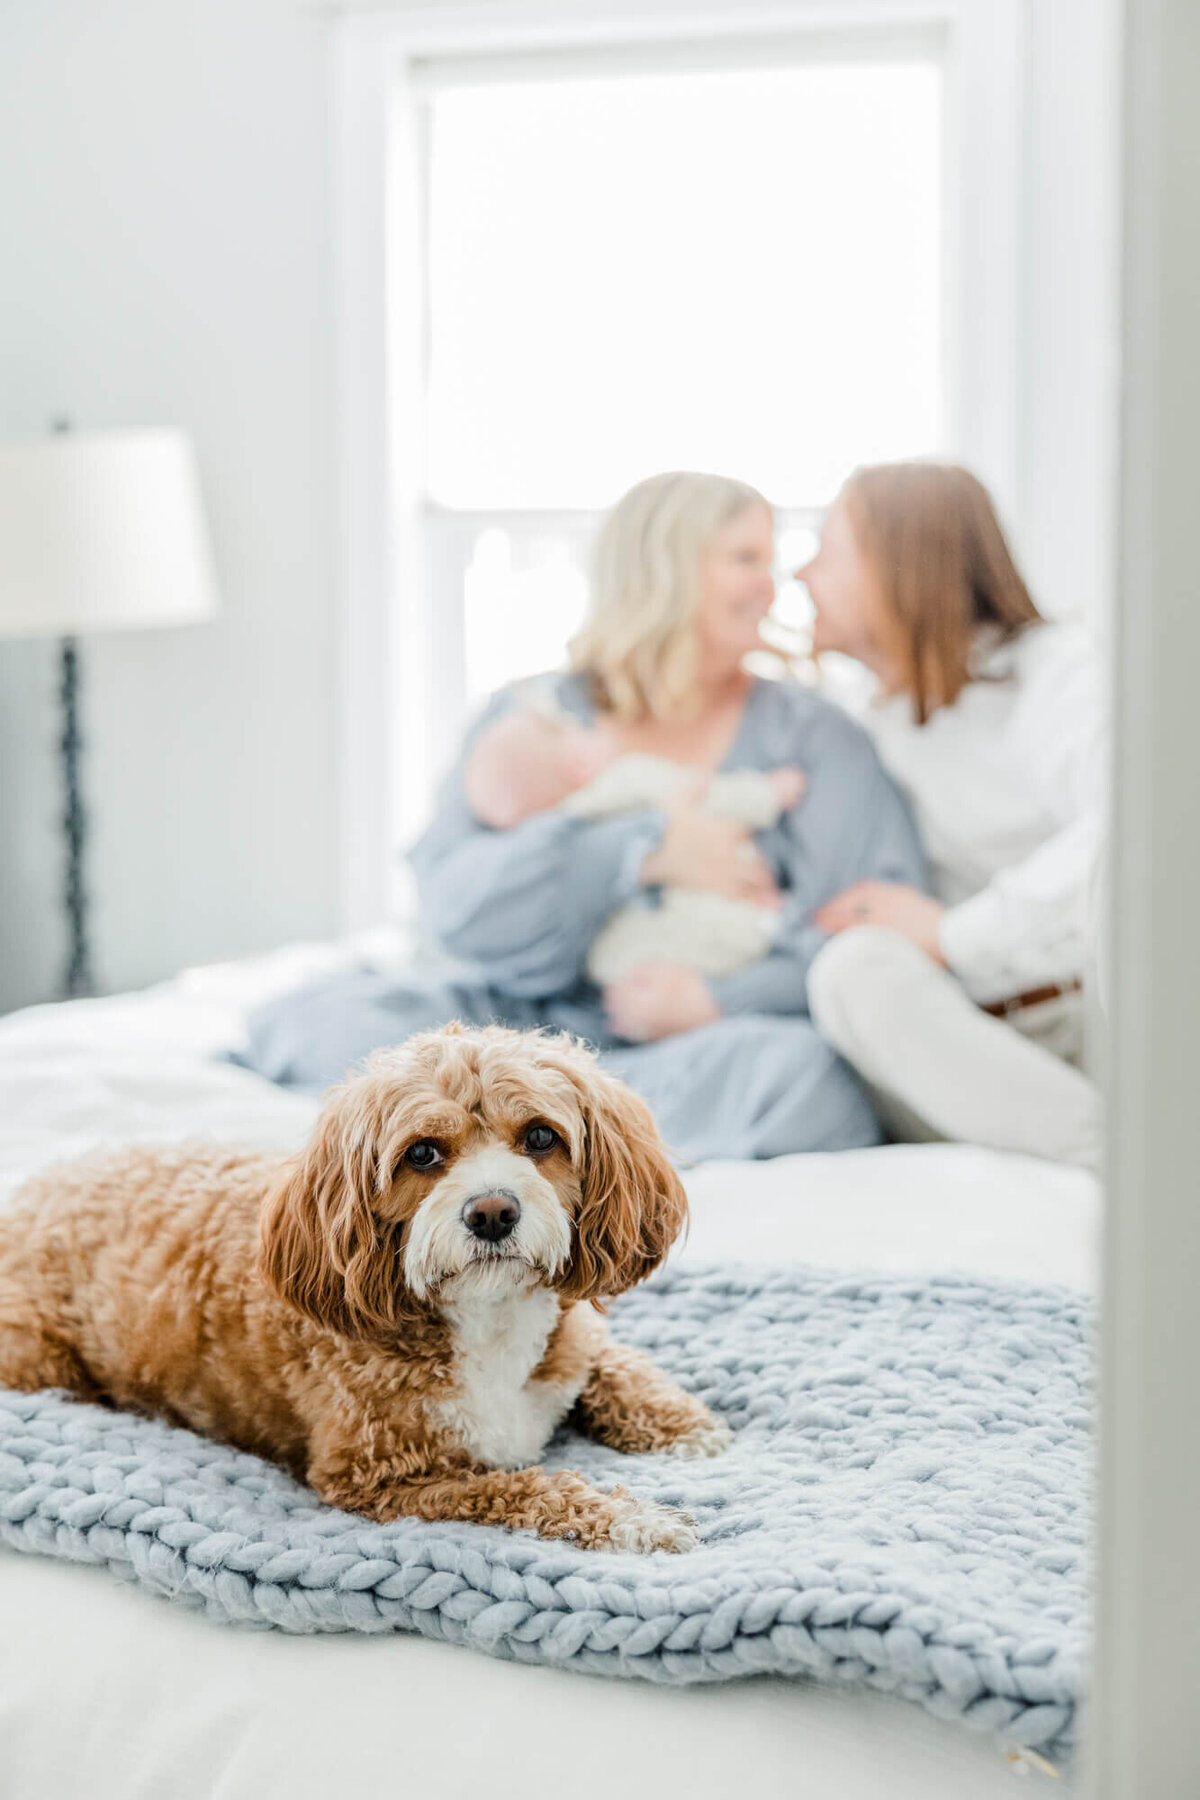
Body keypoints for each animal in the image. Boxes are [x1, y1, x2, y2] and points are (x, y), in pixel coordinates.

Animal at [0, 1029, 734, 1548]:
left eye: (540, 1137)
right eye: (423, 1153)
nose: (492, 1212)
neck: (487, 1321)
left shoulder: (573, 1337)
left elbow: (618, 1363)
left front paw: (687, 1428)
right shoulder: (383, 1480)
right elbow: (528, 1487)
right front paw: (635, 1519)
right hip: (39, 1359)